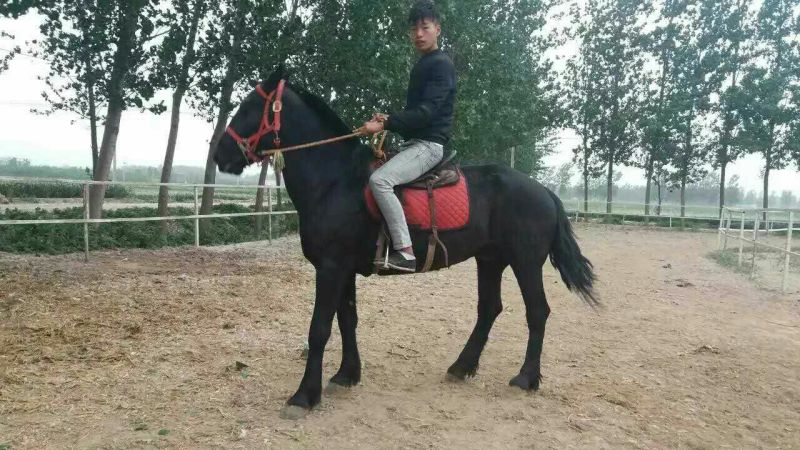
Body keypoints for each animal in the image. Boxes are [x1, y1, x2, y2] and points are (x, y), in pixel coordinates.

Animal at [213, 68, 598, 419]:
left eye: (248, 108)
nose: (219, 154)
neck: (336, 181)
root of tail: (543, 190)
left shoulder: (331, 268)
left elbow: (319, 329)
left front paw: (304, 396)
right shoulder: (343, 270)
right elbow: (347, 319)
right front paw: (347, 374)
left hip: (526, 262)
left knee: (537, 312)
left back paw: (526, 378)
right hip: (490, 260)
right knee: (489, 309)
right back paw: (461, 367)